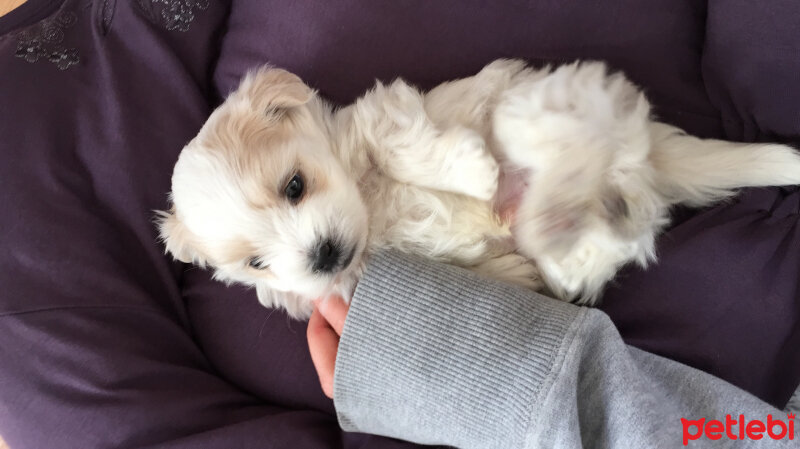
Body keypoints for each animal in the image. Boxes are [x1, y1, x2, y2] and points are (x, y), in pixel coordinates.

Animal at [156, 59, 800, 316]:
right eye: (256, 263)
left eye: (294, 185)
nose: (322, 255)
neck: (368, 211)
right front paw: (507, 269)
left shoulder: (381, 119)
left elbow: (406, 148)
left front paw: (473, 172)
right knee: (617, 231)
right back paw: (561, 237)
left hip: (541, 109)